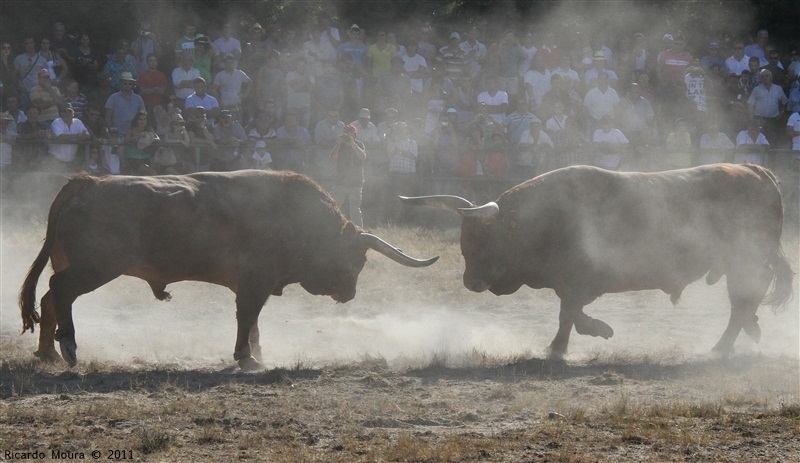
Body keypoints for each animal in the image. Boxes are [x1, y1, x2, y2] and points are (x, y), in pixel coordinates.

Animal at [20, 169, 438, 370]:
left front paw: (257, 354)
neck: (299, 218)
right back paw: (69, 347)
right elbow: (247, 317)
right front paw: (245, 357)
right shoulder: (253, 283)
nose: (349, 294)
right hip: (95, 266)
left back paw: (47, 353)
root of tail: (87, 182)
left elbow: (254, 322)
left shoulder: (254, 284)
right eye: (358, 260)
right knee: (60, 290)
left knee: (50, 296)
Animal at [404, 165, 796, 360]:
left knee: (746, 294)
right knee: (747, 297)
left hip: (745, 259)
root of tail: (755, 171)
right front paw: (559, 347)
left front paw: (596, 332)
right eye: (464, 241)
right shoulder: (568, 284)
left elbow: (572, 314)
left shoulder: (580, 282)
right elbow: (567, 315)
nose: (470, 282)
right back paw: (749, 331)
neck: (545, 217)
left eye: (484, 240)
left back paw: (724, 345)